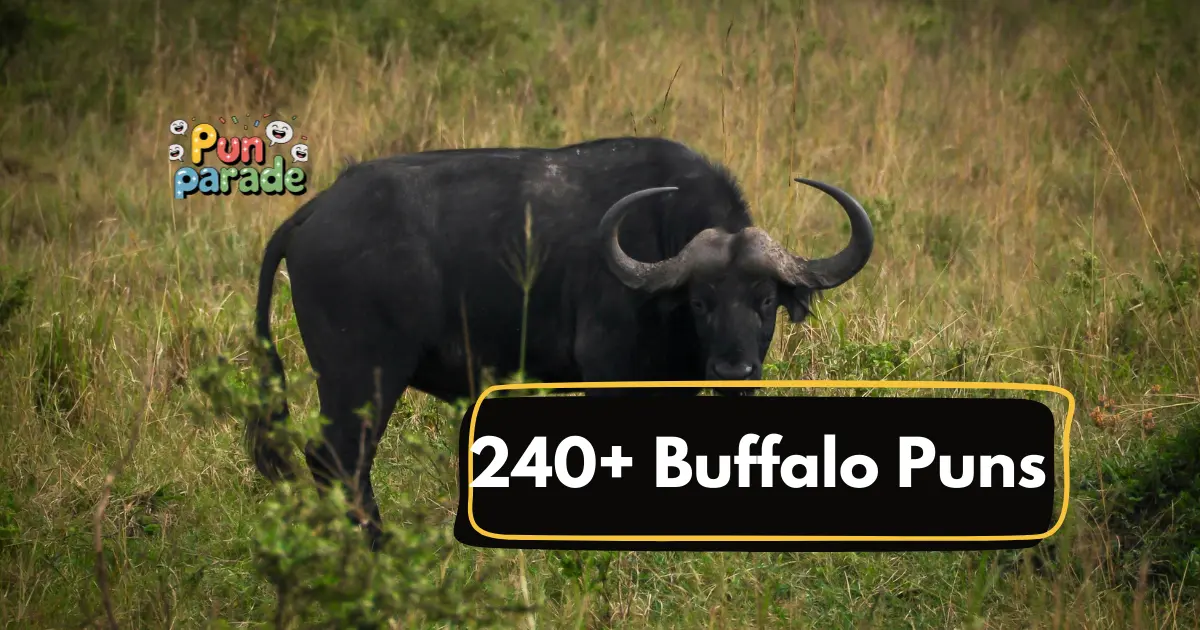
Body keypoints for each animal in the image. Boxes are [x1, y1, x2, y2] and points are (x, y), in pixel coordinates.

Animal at [250, 136, 874, 546]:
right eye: (701, 301)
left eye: (765, 300)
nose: (734, 372)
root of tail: (318, 209)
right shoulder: (608, 377)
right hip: (362, 377)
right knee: (338, 458)